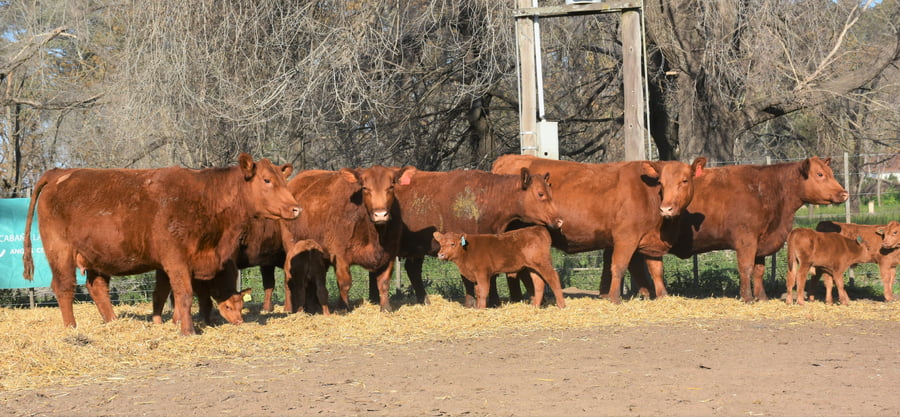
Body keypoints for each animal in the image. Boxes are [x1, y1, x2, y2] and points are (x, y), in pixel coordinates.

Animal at [22, 153, 301, 336]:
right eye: (266, 180)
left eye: (283, 180)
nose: (296, 208)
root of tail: (60, 173)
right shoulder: (175, 259)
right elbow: (184, 294)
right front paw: (187, 331)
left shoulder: (174, 264)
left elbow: (167, 294)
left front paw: (174, 322)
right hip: (60, 251)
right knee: (64, 286)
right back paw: (71, 328)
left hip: (97, 257)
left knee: (97, 287)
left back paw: (112, 322)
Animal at [280, 166, 413, 313]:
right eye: (365, 188)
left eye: (391, 187)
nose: (380, 214)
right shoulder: (340, 255)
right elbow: (345, 283)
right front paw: (343, 307)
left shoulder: (389, 254)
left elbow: (384, 282)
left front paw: (386, 307)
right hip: (291, 248)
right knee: (289, 279)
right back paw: (289, 308)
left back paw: (313, 306)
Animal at [433, 226, 566, 309]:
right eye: (440, 244)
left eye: (452, 244)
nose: (441, 255)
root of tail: (537, 228)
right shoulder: (475, 275)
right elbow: (478, 292)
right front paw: (477, 308)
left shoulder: (482, 273)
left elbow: (483, 291)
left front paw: (481, 309)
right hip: (533, 267)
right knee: (539, 282)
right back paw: (535, 306)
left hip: (542, 263)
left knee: (553, 277)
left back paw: (561, 305)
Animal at [492, 154, 707, 304]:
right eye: (661, 182)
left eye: (685, 180)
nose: (666, 208)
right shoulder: (625, 237)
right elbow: (619, 266)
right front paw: (615, 298)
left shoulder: (649, 241)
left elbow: (655, 270)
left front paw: (661, 296)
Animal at [611, 157, 849, 303]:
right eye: (820, 174)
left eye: (829, 172)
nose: (844, 193)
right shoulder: (746, 239)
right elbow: (746, 268)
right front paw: (747, 297)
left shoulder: (762, 241)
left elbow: (759, 270)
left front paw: (762, 297)